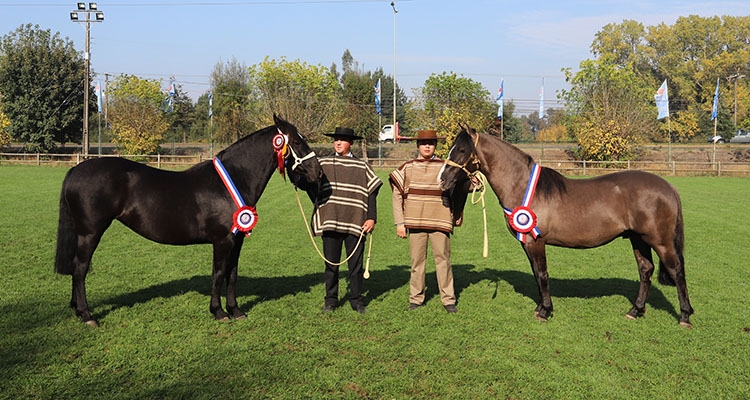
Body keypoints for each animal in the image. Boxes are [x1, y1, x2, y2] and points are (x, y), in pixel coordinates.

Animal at [54, 115, 322, 324]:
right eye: (296, 141)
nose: (317, 172)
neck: (233, 181)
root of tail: (76, 170)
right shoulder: (223, 241)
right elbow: (218, 273)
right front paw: (219, 312)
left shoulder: (237, 241)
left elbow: (232, 273)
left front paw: (236, 310)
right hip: (90, 233)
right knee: (80, 269)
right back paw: (87, 315)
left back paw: (77, 309)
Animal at [444, 128, 696, 328]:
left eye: (462, 150)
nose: (443, 179)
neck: (523, 185)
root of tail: (668, 186)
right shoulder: (529, 244)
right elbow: (537, 274)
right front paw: (541, 308)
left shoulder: (536, 242)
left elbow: (542, 274)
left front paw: (545, 311)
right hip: (638, 239)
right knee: (646, 270)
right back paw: (635, 310)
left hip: (660, 241)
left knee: (677, 271)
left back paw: (685, 316)